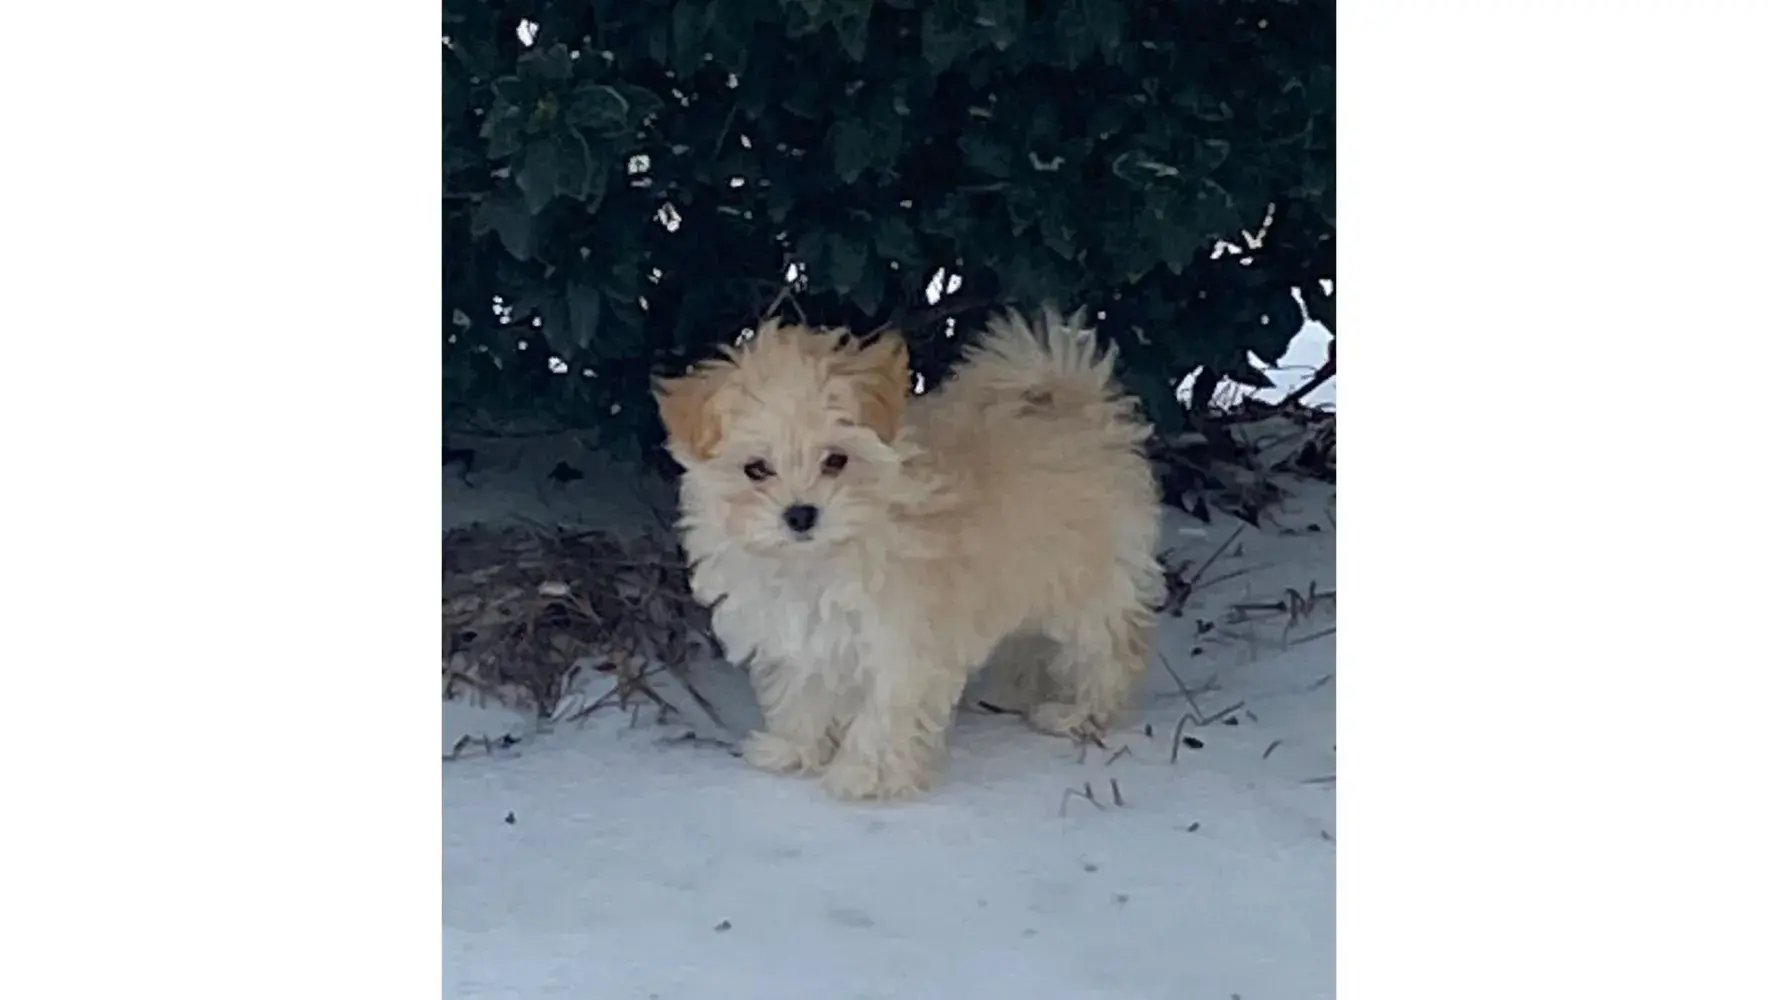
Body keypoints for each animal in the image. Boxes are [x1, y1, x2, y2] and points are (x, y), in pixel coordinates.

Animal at [653, 306, 1163, 800]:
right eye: (755, 469)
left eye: (836, 459)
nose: (800, 514)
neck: (817, 562)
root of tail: (1077, 403)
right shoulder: (800, 634)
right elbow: (803, 693)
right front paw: (794, 749)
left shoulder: (901, 640)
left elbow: (884, 712)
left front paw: (865, 776)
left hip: (1089, 582)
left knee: (1108, 650)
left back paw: (1076, 714)